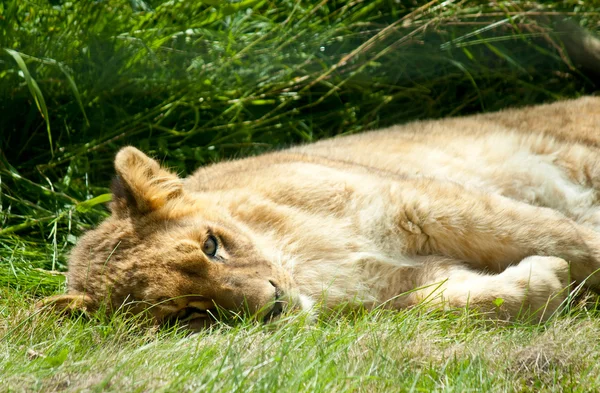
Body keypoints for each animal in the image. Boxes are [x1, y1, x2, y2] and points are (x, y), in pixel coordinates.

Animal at [39, 95, 600, 328]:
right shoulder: (403, 285)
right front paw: (544, 280)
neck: (305, 264)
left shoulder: (423, 203)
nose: (273, 307)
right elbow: (457, 301)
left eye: (212, 245)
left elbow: (567, 238)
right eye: (185, 315)